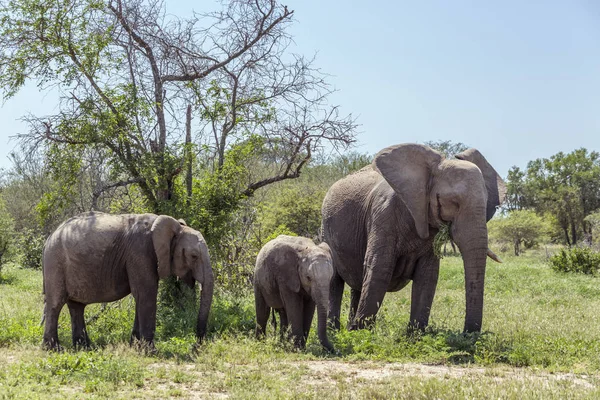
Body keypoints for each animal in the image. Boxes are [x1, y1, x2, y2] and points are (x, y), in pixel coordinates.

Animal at [41, 212, 213, 350]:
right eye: (194, 256)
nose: (196, 345)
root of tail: (50, 237)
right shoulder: (141, 252)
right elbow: (146, 295)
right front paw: (150, 351)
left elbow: (141, 296)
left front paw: (135, 347)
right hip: (55, 263)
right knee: (56, 304)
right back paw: (54, 349)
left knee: (77, 306)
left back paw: (85, 348)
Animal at [322, 142, 504, 332]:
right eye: (453, 202)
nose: (466, 334)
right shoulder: (382, 215)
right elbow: (379, 268)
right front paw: (361, 334)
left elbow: (427, 276)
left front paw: (415, 334)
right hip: (325, 230)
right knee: (335, 281)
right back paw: (335, 330)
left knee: (357, 284)